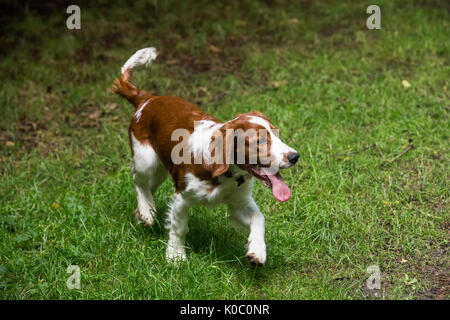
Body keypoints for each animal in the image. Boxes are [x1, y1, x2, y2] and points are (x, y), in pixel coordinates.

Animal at [111, 47, 298, 266]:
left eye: (276, 134)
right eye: (259, 141)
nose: (295, 156)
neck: (227, 175)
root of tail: (146, 98)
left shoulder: (238, 203)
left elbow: (259, 219)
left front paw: (257, 252)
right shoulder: (182, 197)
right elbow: (179, 228)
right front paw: (175, 256)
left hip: (160, 170)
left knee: (149, 186)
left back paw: (142, 212)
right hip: (146, 160)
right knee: (137, 179)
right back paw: (147, 211)